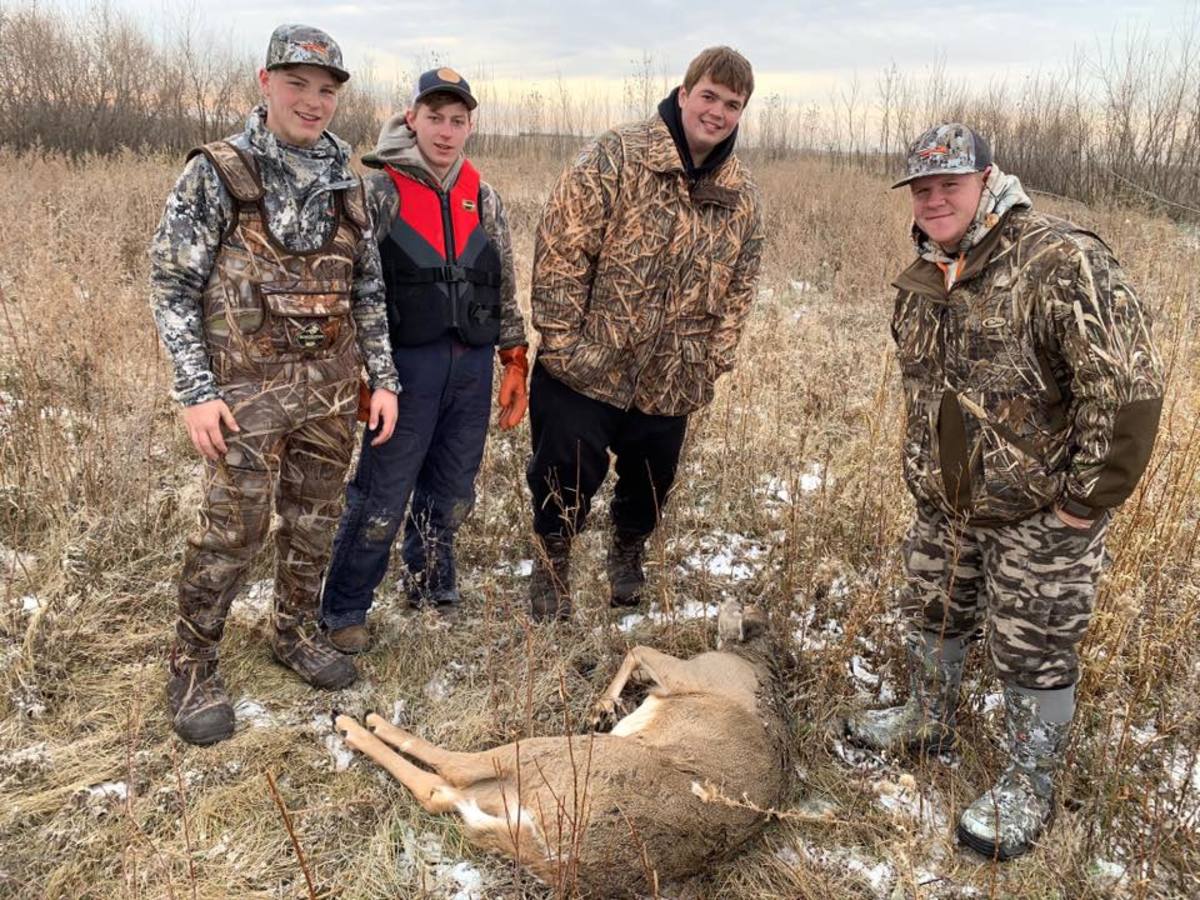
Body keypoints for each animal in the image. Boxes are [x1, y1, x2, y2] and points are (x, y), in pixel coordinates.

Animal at [333, 600, 791, 897]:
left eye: (742, 606)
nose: (726, 599)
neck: (754, 660)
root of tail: (559, 860)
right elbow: (635, 653)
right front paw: (604, 707)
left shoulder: (693, 674)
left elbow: (636, 648)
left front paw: (601, 706)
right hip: (522, 789)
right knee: (442, 792)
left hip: (560, 758)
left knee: (455, 770)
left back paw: (357, 723)